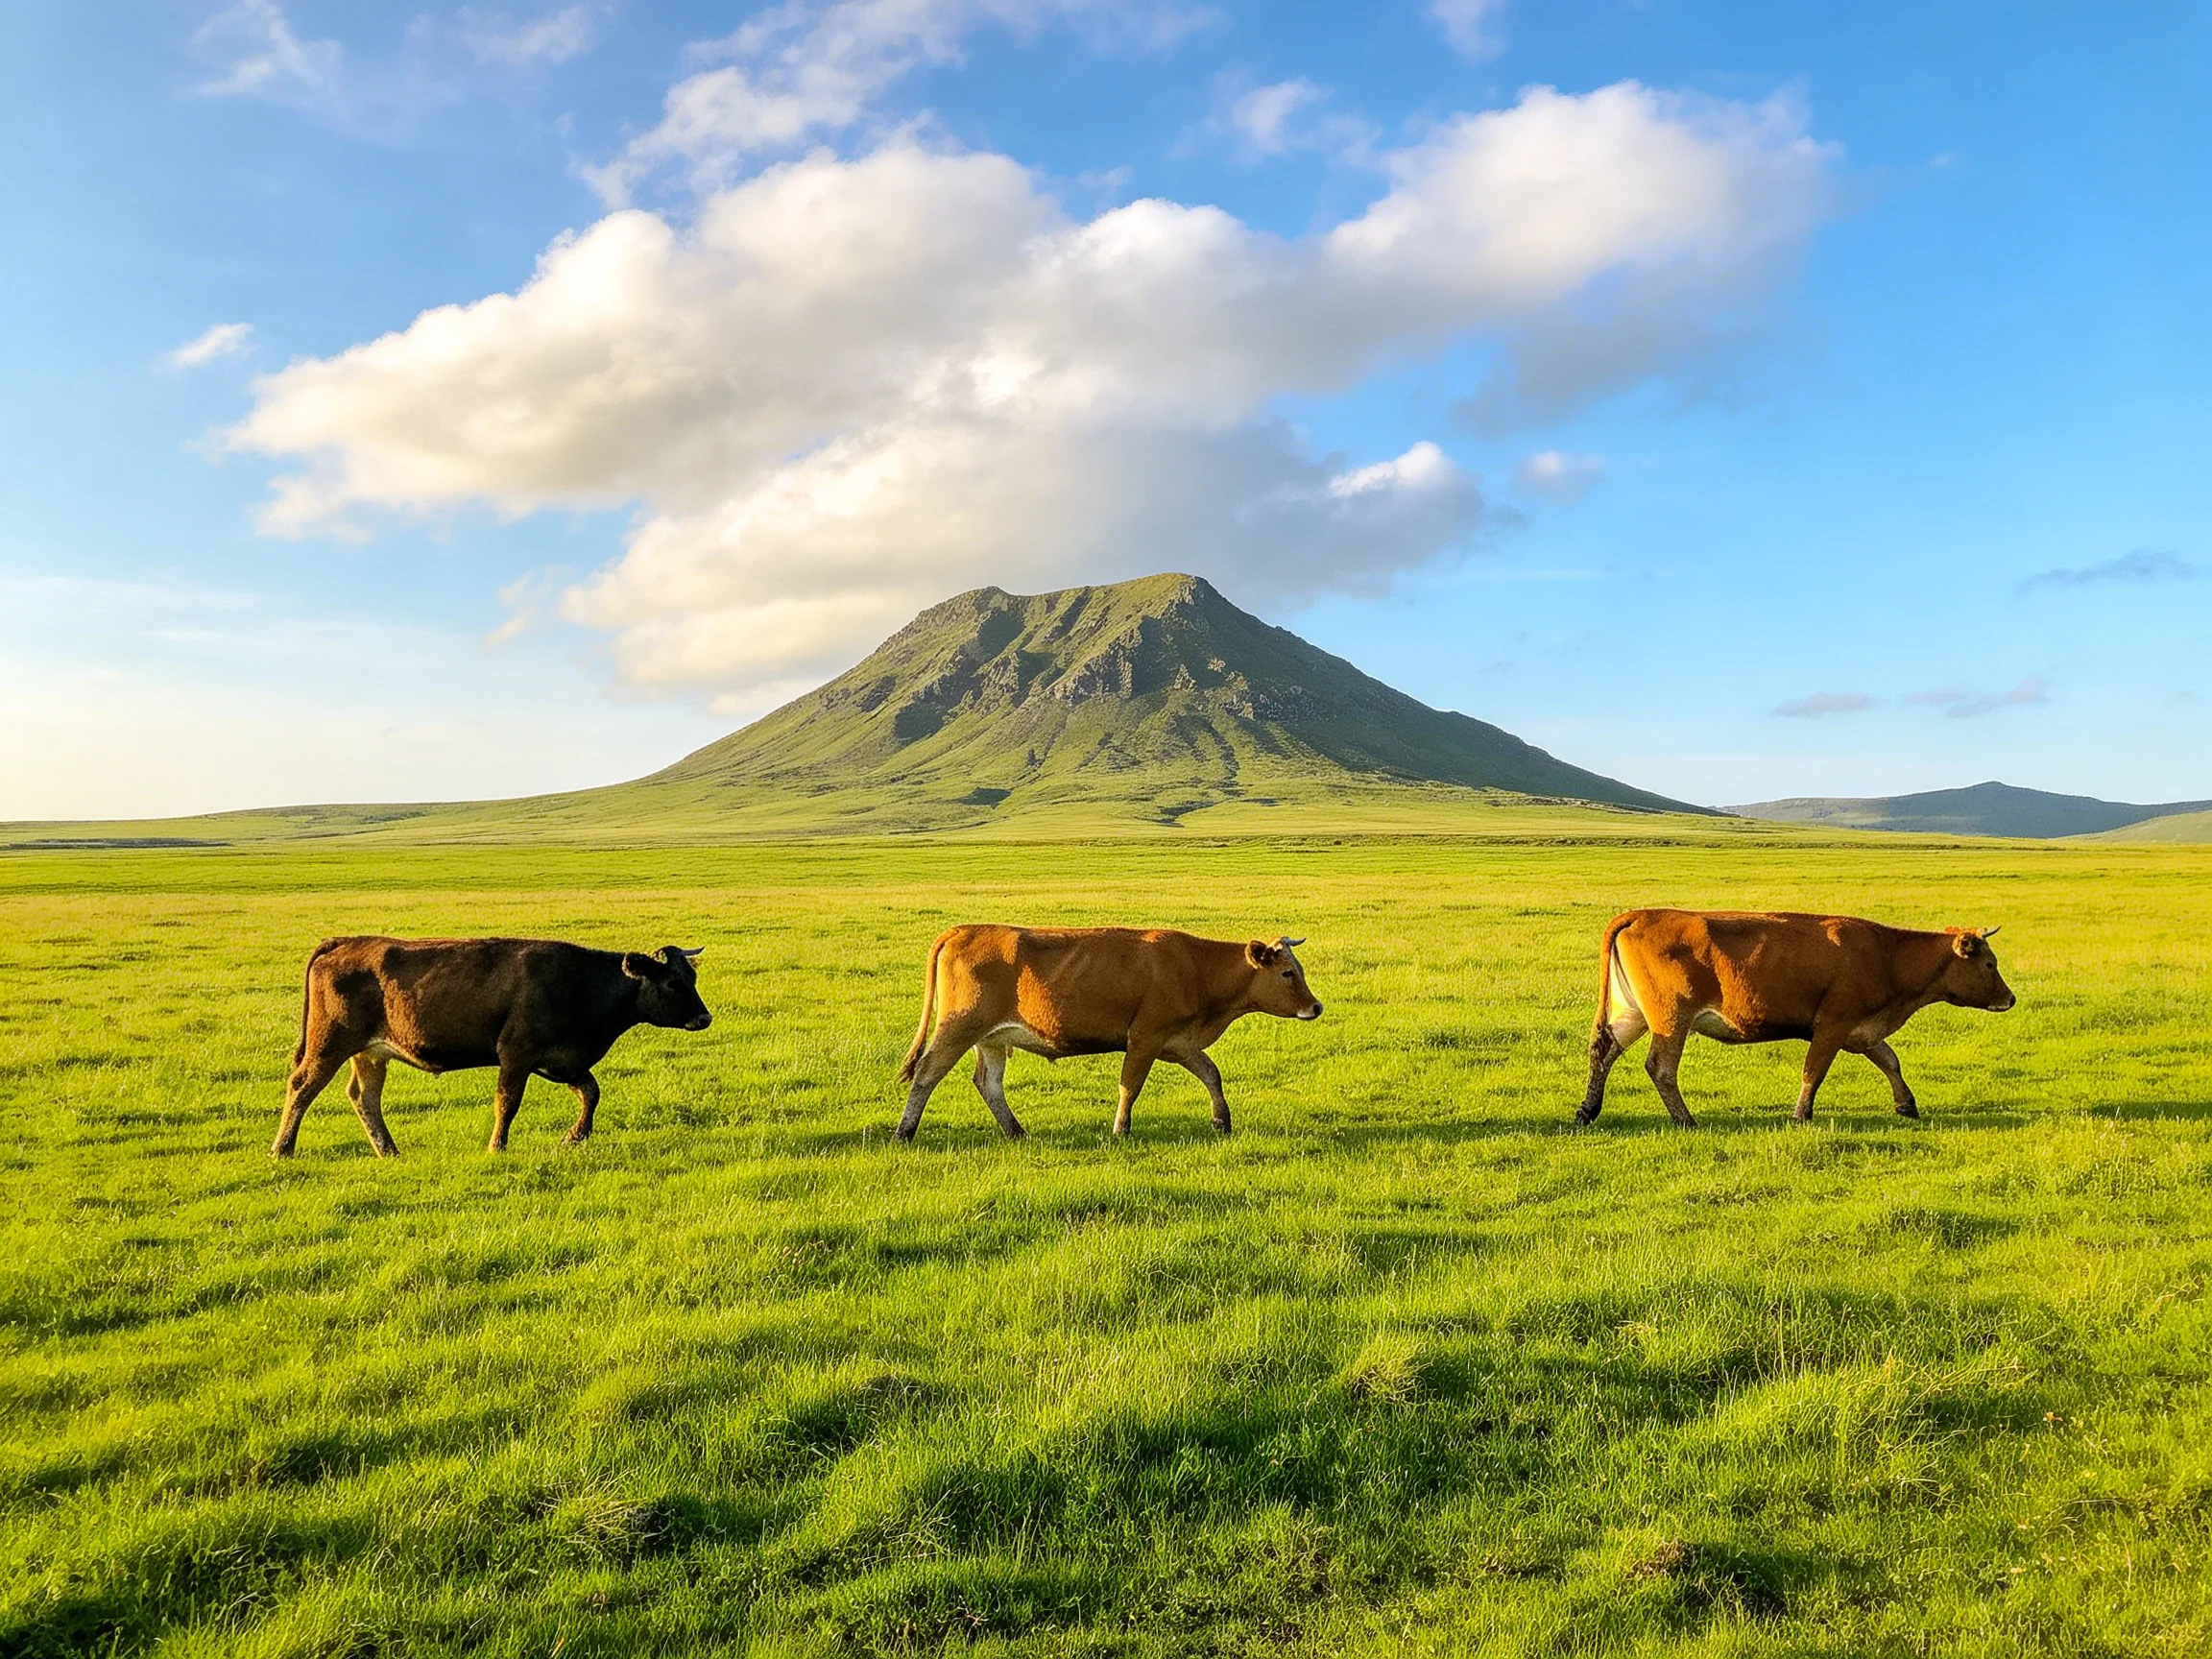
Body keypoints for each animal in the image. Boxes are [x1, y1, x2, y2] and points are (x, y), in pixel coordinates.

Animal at [272, 937, 712, 1157]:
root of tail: (346, 942)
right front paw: (497, 1146)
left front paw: (575, 1136)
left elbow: (591, 1092)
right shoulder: (516, 1055)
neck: (581, 982)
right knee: (302, 1086)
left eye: (691, 977)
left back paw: (389, 1151)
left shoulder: (565, 1060)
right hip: (330, 1043)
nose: (704, 1018)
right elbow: (508, 1103)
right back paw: (283, 1148)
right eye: (674, 982)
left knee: (364, 1097)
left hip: (370, 1053)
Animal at [893, 926, 1324, 1141]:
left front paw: (1222, 1121)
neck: (1196, 967)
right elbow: (1129, 1086)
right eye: (1288, 973)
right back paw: (904, 1132)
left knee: (988, 1083)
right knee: (927, 1073)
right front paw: (1121, 1129)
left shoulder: (1178, 1042)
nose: (1316, 1006)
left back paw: (1016, 1132)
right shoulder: (1145, 1038)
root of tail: (961, 930)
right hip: (960, 1026)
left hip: (992, 1039)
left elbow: (1211, 1075)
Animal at [1578, 910, 2016, 1127]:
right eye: (1990, 964)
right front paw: (1801, 1114)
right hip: (1671, 1018)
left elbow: (1890, 1060)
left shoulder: (1863, 1029)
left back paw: (1588, 1110)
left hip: (1634, 1012)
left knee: (1605, 1050)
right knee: (1661, 1067)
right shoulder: (1833, 1025)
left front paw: (1906, 1104)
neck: (1887, 955)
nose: (2010, 999)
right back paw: (1685, 1120)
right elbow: (1814, 1071)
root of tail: (1642, 914)